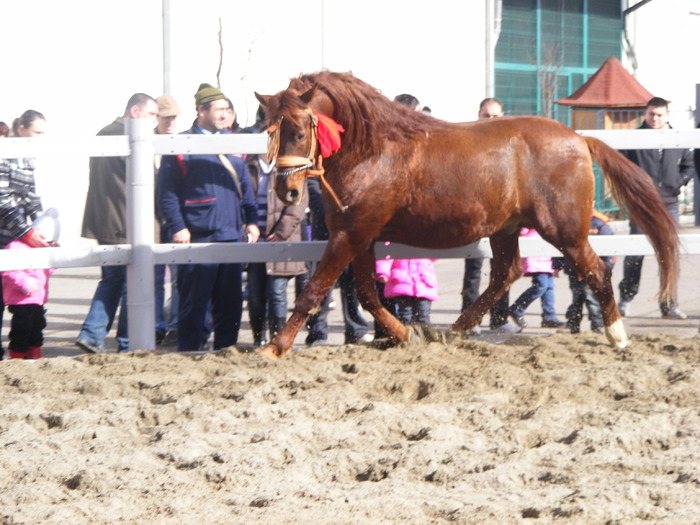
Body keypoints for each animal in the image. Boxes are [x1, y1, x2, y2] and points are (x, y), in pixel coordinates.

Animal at [254, 71, 680, 358]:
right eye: (268, 130)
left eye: (299, 131)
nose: (287, 192)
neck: (370, 151)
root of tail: (579, 138)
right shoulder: (358, 234)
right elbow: (368, 295)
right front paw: (406, 334)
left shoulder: (353, 234)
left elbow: (313, 292)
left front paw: (274, 347)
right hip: (506, 228)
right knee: (506, 273)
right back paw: (450, 331)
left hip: (565, 230)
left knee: (596, 272)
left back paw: (617, 335)